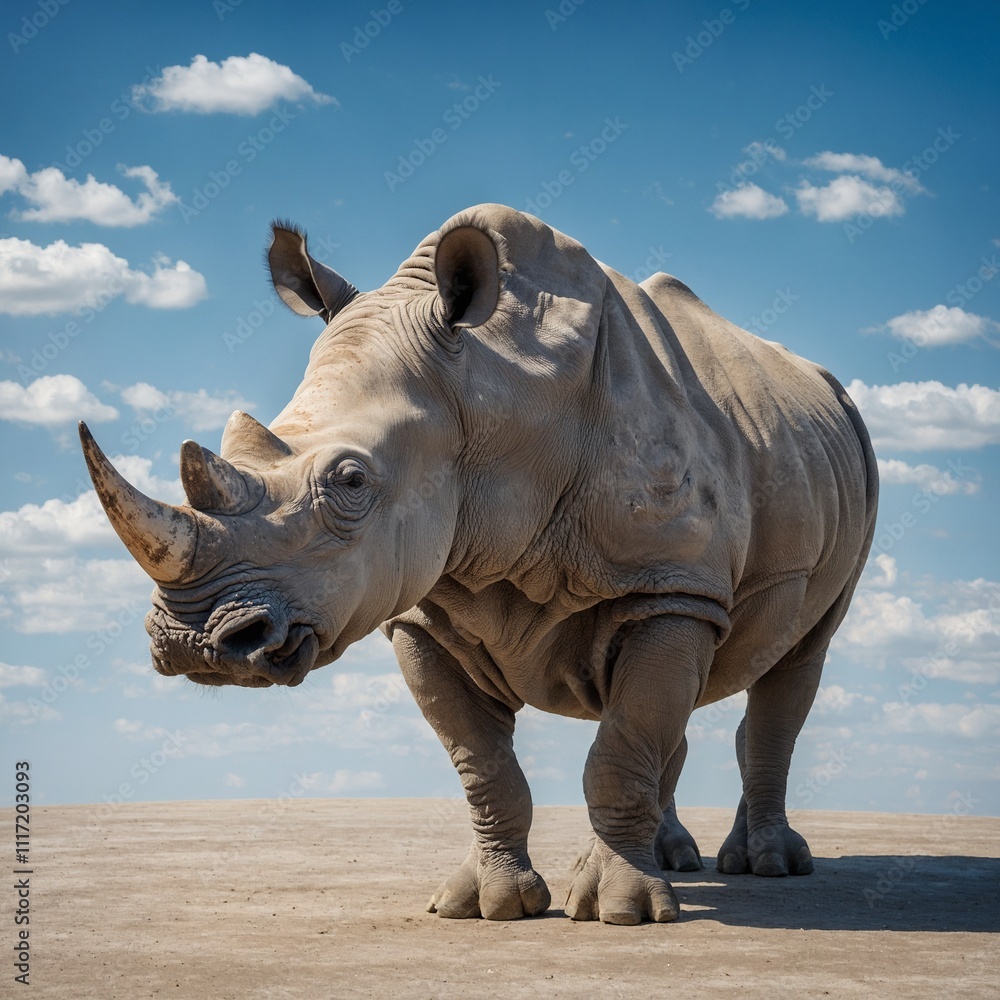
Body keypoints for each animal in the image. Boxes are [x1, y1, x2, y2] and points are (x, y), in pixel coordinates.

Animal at [80, 203, 877, 925]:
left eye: (350, 481)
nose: (191, 641)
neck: (484, 397)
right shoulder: (421, 610)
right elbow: (485, 762)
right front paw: (484, 906)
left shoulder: (670, 585)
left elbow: (622, 746)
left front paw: (620, 912)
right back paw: (671, 860)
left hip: (840, 477)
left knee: (793, 665)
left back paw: (763, 867)